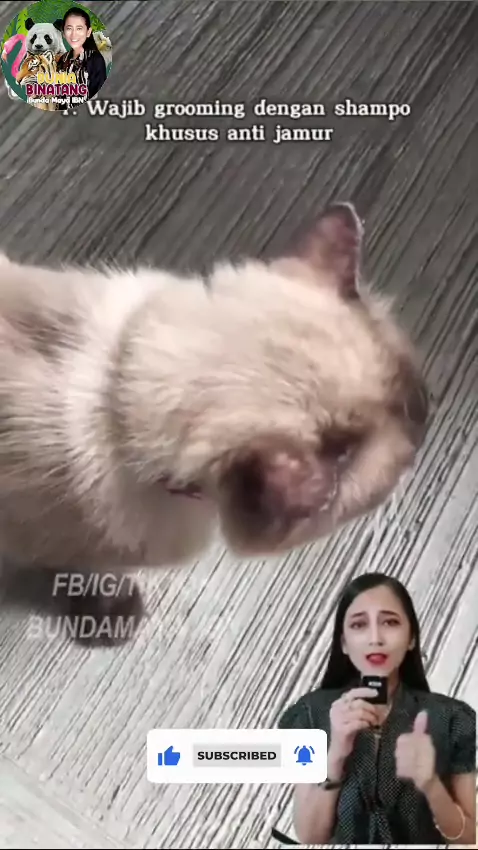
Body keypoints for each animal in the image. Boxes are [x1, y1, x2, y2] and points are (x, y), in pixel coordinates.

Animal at [0, 203, 429, 646]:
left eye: (413, 391)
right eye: (342, 454)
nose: (423, 420)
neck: (113, 396)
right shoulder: (64, 549)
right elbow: (90, 575)